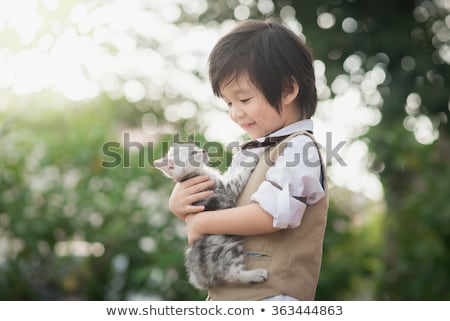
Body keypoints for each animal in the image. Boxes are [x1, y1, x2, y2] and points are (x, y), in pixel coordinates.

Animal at [153, 142, 268, 288]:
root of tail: (205, 273)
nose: (203, 150)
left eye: (196, 147)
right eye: (193, 153)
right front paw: (256, 155)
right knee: (231, 273)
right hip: (230, 245)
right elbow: (241, 173)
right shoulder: (228, 188)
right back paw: (256, 275)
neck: (197, 174)